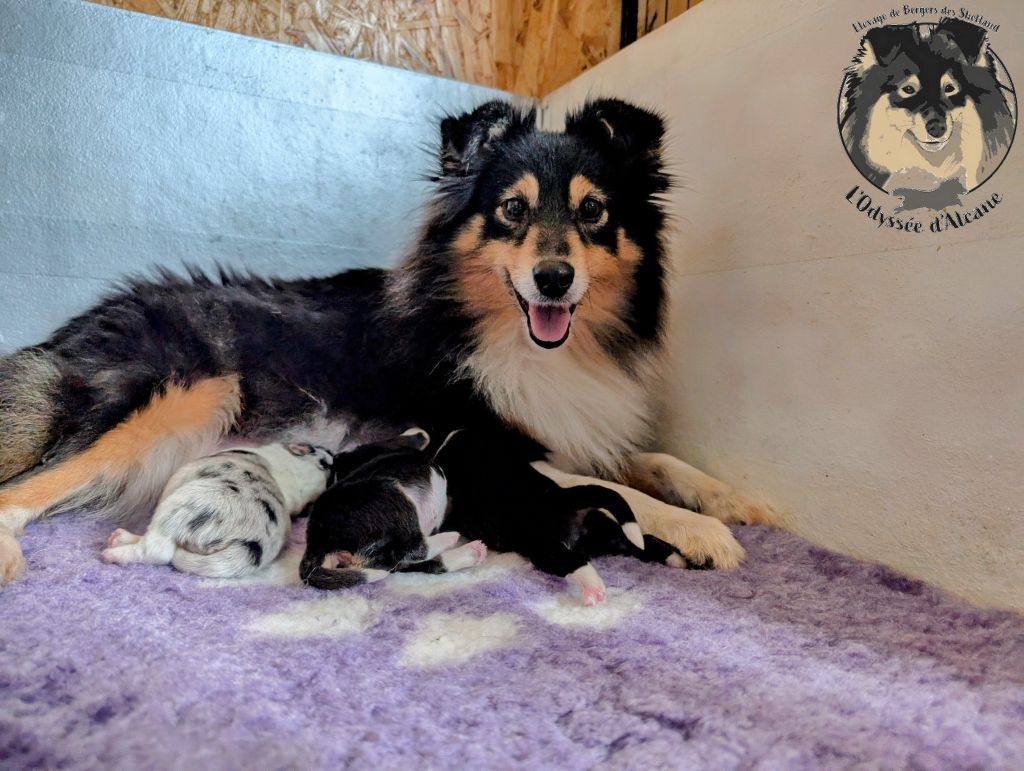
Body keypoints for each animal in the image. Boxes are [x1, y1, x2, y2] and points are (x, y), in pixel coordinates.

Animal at [299, 427, 485, 589]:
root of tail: (316, 542)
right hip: (393, 495)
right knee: (412, 549)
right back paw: (451, 538)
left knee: (399, 561)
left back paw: (472, 552)